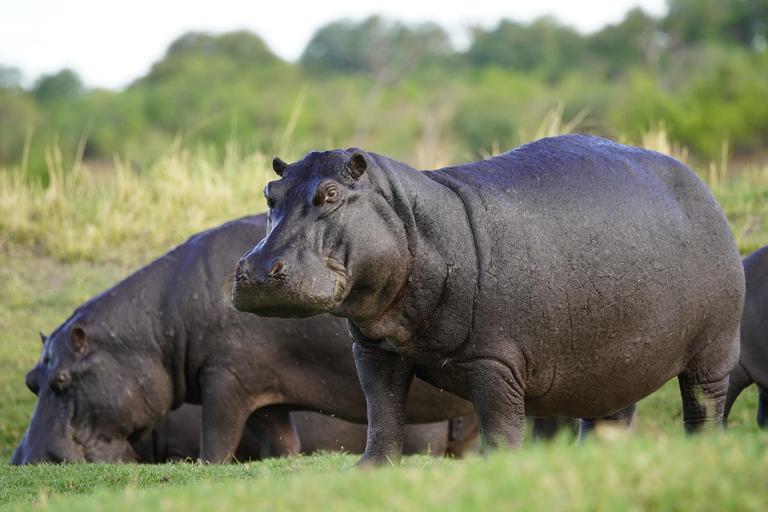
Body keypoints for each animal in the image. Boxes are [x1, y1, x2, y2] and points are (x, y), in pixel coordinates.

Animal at [12, 214, 477, 464]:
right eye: (31, 380)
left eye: (63, 380)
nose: (24, 462)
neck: (157, 328)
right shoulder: (263, 394)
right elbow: (282, 443)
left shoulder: (225, 380)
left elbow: (217, 440)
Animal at [232, 134, 744, 464]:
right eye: (270, 192)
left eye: (331, 193)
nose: (256, 271)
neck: (417, 226)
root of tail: (702, 187)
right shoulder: (374, 350)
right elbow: (383, 414)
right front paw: (371, 470)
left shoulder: (495, 363)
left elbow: (499, 426)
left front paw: (500, 473)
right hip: (616, 359)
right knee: (611, 415)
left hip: (712, 352)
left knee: (705, 404)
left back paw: (703, 452)